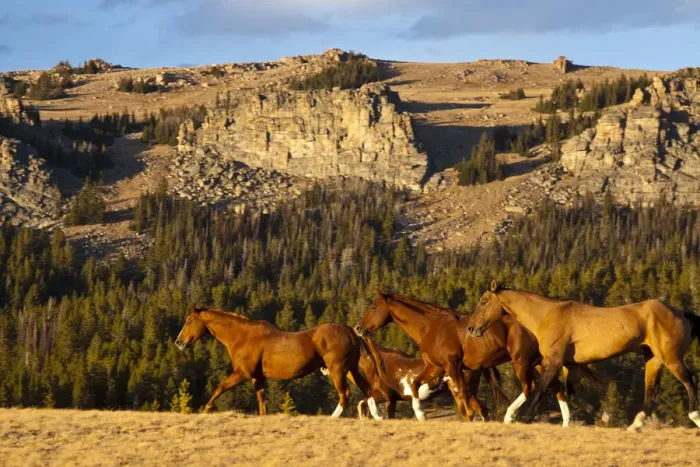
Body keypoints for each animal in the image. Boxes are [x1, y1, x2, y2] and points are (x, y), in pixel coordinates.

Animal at [175, 305, 375, 416]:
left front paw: (205, 411)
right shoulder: (257, 377)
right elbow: (262, 403)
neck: (241, 337)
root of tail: (351, 332)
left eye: (190, 320)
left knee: (345, 394)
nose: (179, 342)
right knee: (368, 389)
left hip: (338, 370)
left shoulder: (243, 373)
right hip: (351, 370)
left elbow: (219, 388)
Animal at [354, 290, 580, 425]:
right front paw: (421, 414)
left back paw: (511, 416)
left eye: (373, 307)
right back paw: (566, 422)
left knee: (530, 387)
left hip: (521, 362)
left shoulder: (452, 365)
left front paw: (468, 417)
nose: (358, 328)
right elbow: (415, 385)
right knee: (556, 387)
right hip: (539, 363)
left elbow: (461, 392)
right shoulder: (435, 367)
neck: (431, 327)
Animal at [468, 280, 700, 430]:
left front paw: (521, 417)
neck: (547, 316)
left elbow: (540, 390)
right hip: (653, 358)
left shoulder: (553, 361)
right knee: (651, 392)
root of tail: (681, 313)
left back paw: (694, 417)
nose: (471, 329)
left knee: (689, 381)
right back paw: (635, 425)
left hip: (671, 357)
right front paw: (604, 416)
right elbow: (571, 394)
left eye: (483, 301)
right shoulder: (571, 365)